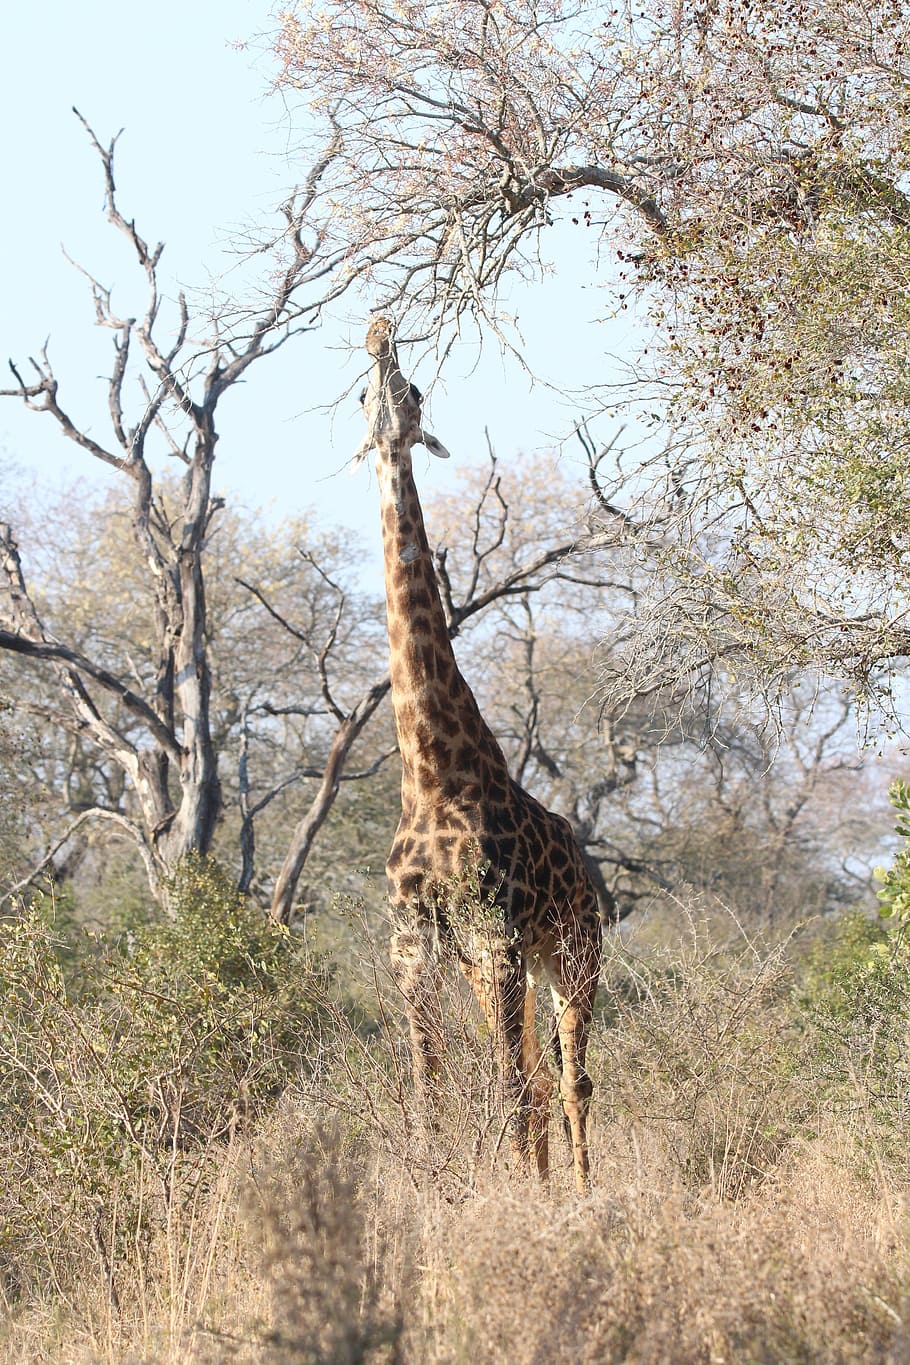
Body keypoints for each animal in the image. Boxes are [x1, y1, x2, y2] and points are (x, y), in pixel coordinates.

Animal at [357, 313, 605, 1190]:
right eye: (366, 394)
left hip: (571, 950)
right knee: (535, 1070)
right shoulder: (416, 945)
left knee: (569, 1078)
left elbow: (509, 1087)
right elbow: (429, 1095)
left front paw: (526, 1202)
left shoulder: (499, 934)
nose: (378, 331)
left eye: (413, 389)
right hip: (497, 964)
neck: (432, 771)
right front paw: (439, 1197)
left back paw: (582, 1191)